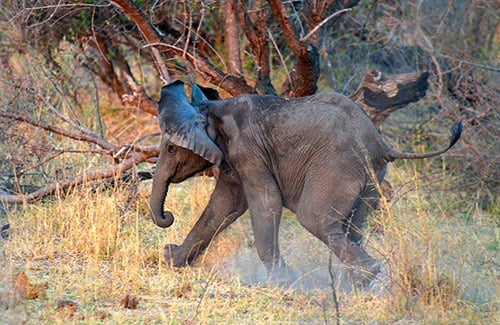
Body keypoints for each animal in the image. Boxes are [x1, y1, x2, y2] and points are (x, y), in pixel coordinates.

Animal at [149, 80, 460, 286]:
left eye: (171, 149)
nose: (168, 216)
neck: (210, 107)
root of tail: (382, 144)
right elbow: (222, 207)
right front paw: (172, 260)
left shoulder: (246, 150)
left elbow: (266, 202)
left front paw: (281, 282)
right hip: (371, 176)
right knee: (352, 225)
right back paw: (354, 284)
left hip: (338, 167)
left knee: (316, 219)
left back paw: (363, 278)